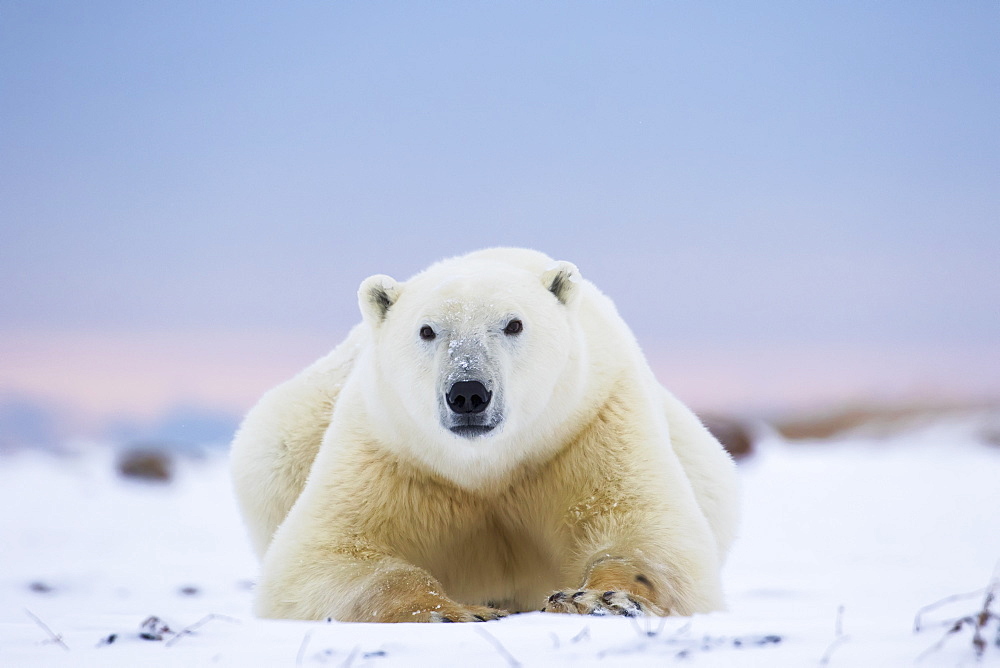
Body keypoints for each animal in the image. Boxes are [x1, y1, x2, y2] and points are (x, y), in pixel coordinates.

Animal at [230, 248, 740, 624]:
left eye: (514, 323)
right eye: (427, 330)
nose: (469, 392)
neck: (488, 465)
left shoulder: (590, 426)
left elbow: (650, 533)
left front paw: (600, 599)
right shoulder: (389, 450)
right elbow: (324, 557)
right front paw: (453, 612)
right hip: (287, 434)